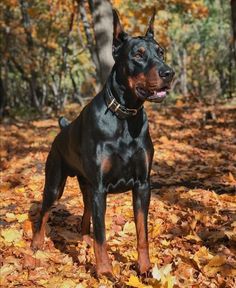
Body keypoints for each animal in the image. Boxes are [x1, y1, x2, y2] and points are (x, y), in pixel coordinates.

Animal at [31, 10, 173, 276]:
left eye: (161, 52)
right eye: (138, 54)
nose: (169, 73)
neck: (125, 117)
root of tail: (62, 129)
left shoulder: (142, 185)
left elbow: (142, 233)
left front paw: (145, 268)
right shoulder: (100, 187)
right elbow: (102, 234)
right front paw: (105, 271)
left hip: (86, 186)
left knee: (85, 216)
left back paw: (83, 240)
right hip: (56, 183)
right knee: (44, 212)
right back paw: (37, 243)